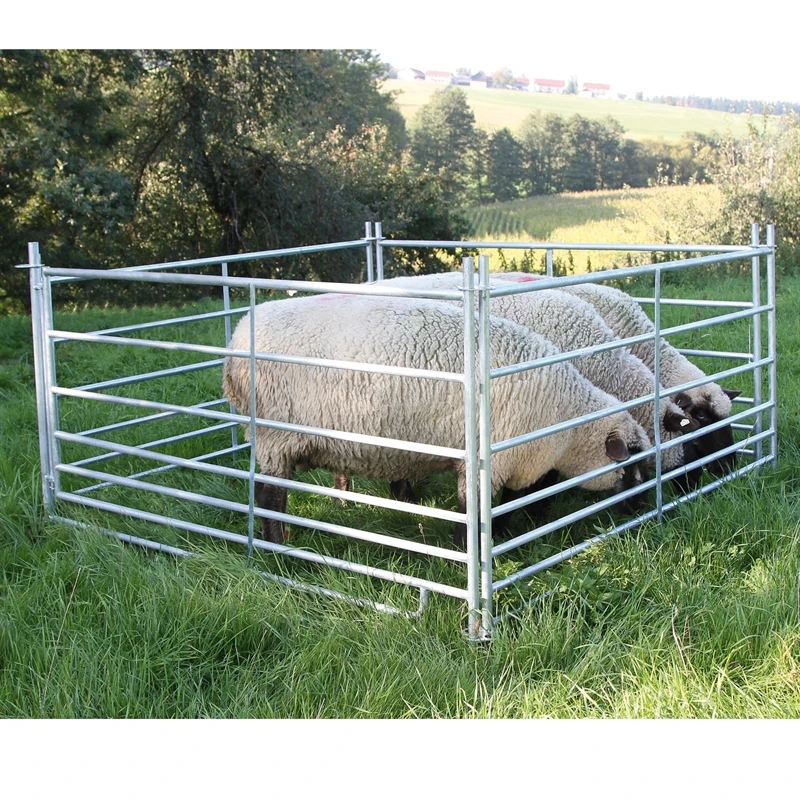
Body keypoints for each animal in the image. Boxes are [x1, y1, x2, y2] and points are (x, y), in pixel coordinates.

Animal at [222, 294, 652, 547]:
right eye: (633, 463)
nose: (644, 509)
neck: (566, 420)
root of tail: (236, 340)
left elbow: (510, 502)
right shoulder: (490, 460)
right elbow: (474, 513)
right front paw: (471, 550)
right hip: (275, 437)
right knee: (269, 497)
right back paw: (277, 548)